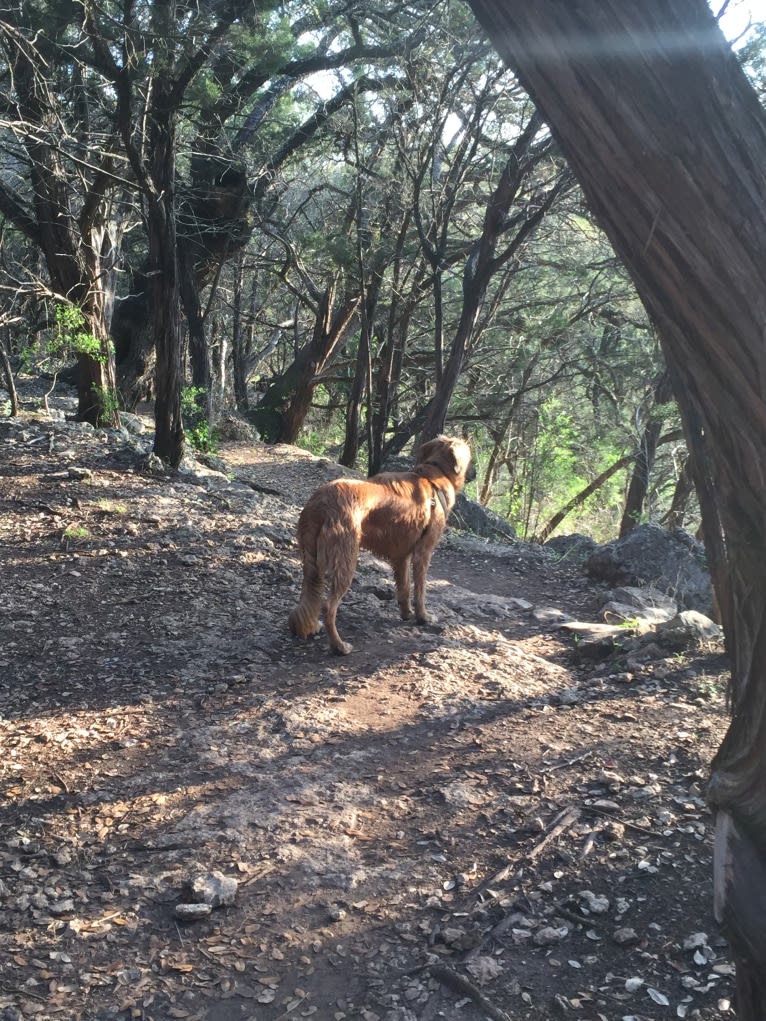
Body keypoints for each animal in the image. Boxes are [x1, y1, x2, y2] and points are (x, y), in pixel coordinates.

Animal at [290, 432, 473, 653]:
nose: (474, 474)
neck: (435, 474)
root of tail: (321, 503)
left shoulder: (401, 556)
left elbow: (404, 587)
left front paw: (406, 614)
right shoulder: (423, 552)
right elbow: (420, 589)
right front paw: (423, 617)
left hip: (312, 559)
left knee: (309, 595)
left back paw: (307, 627)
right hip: (345, 560)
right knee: (328, 606)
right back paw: (339, 646)